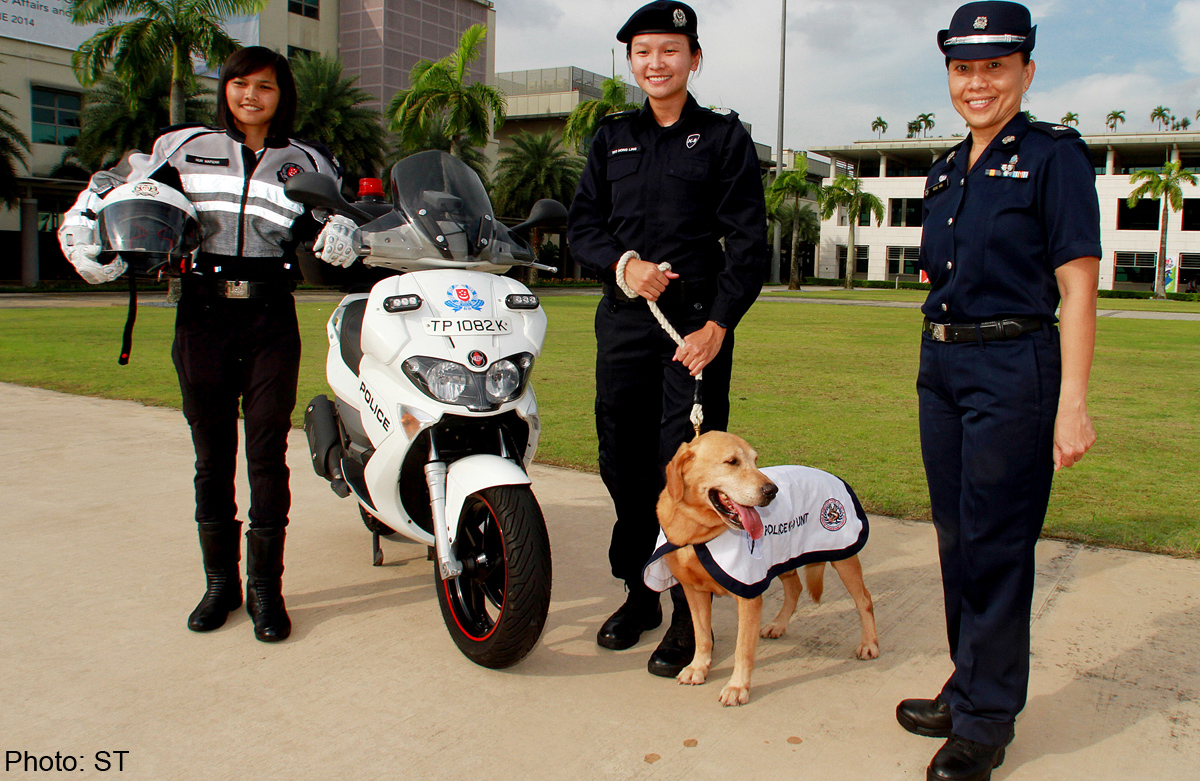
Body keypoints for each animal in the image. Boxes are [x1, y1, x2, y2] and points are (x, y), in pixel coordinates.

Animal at [652, 431, 878, 705]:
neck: (697, 531)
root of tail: (831, 475)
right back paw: (779, 625)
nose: (772, 491)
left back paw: (869, 643)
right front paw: (698, 667)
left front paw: (738, 686)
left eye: (755, 460)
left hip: (843, 557)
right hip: (784, 557)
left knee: (864, 600)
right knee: (795, 588)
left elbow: (743, 649)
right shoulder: (693, 591)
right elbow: (702, 635)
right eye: (732, 462)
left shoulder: (748, 596)